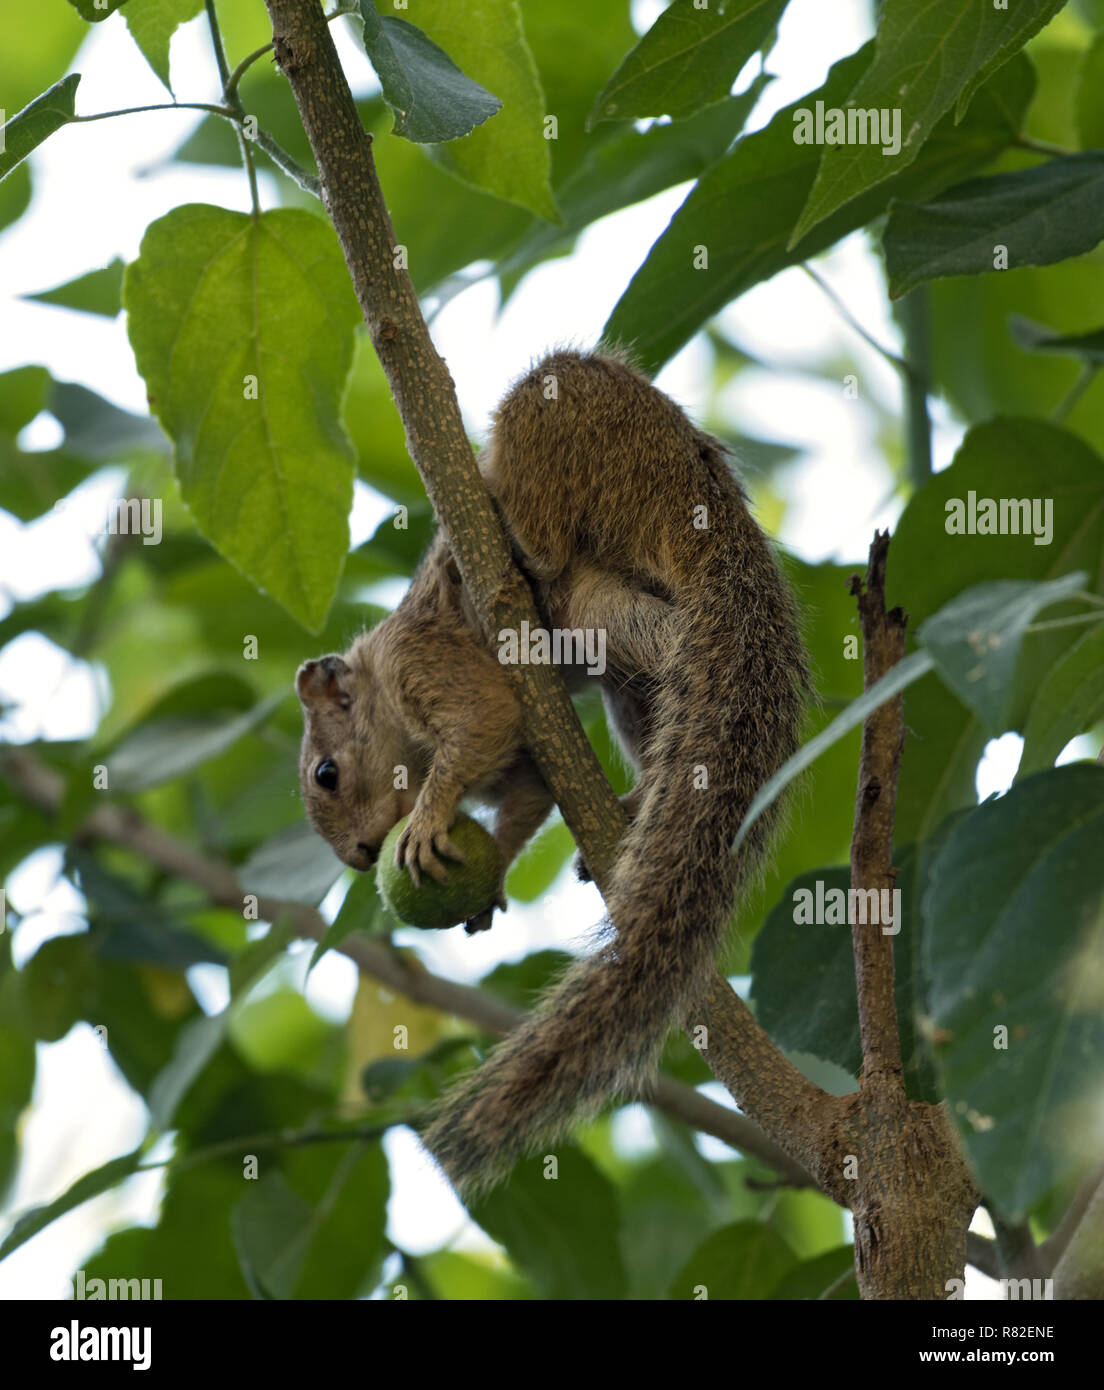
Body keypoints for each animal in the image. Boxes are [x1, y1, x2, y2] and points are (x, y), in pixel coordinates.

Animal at [296, 349, 809, 1198]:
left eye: (327, 774)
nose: (361, 857)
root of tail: (710, 502)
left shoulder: (425, 663)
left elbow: (484, 718)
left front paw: (427, 818)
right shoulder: (525, 763)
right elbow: (529, 788)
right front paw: (491, 868)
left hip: (569, 438)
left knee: (572, 551)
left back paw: (510, 539)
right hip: (614, 624)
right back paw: (636, 801)